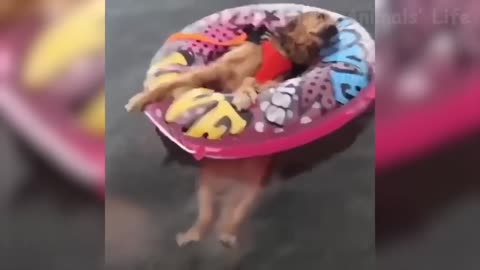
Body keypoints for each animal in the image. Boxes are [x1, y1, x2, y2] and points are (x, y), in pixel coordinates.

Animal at [125, 11, 340, 247]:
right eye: (321, 17)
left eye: (334, 22)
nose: (336, 30)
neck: (284, 49)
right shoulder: (214, 70)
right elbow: (172, 83)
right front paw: (140, 100)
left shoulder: (272, 80)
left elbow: (252, 81)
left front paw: (243, 95)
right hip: (207, 188)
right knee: (207, 216)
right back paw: (194, 234)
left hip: (250, 189)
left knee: (232, 215)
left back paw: (226, 235)